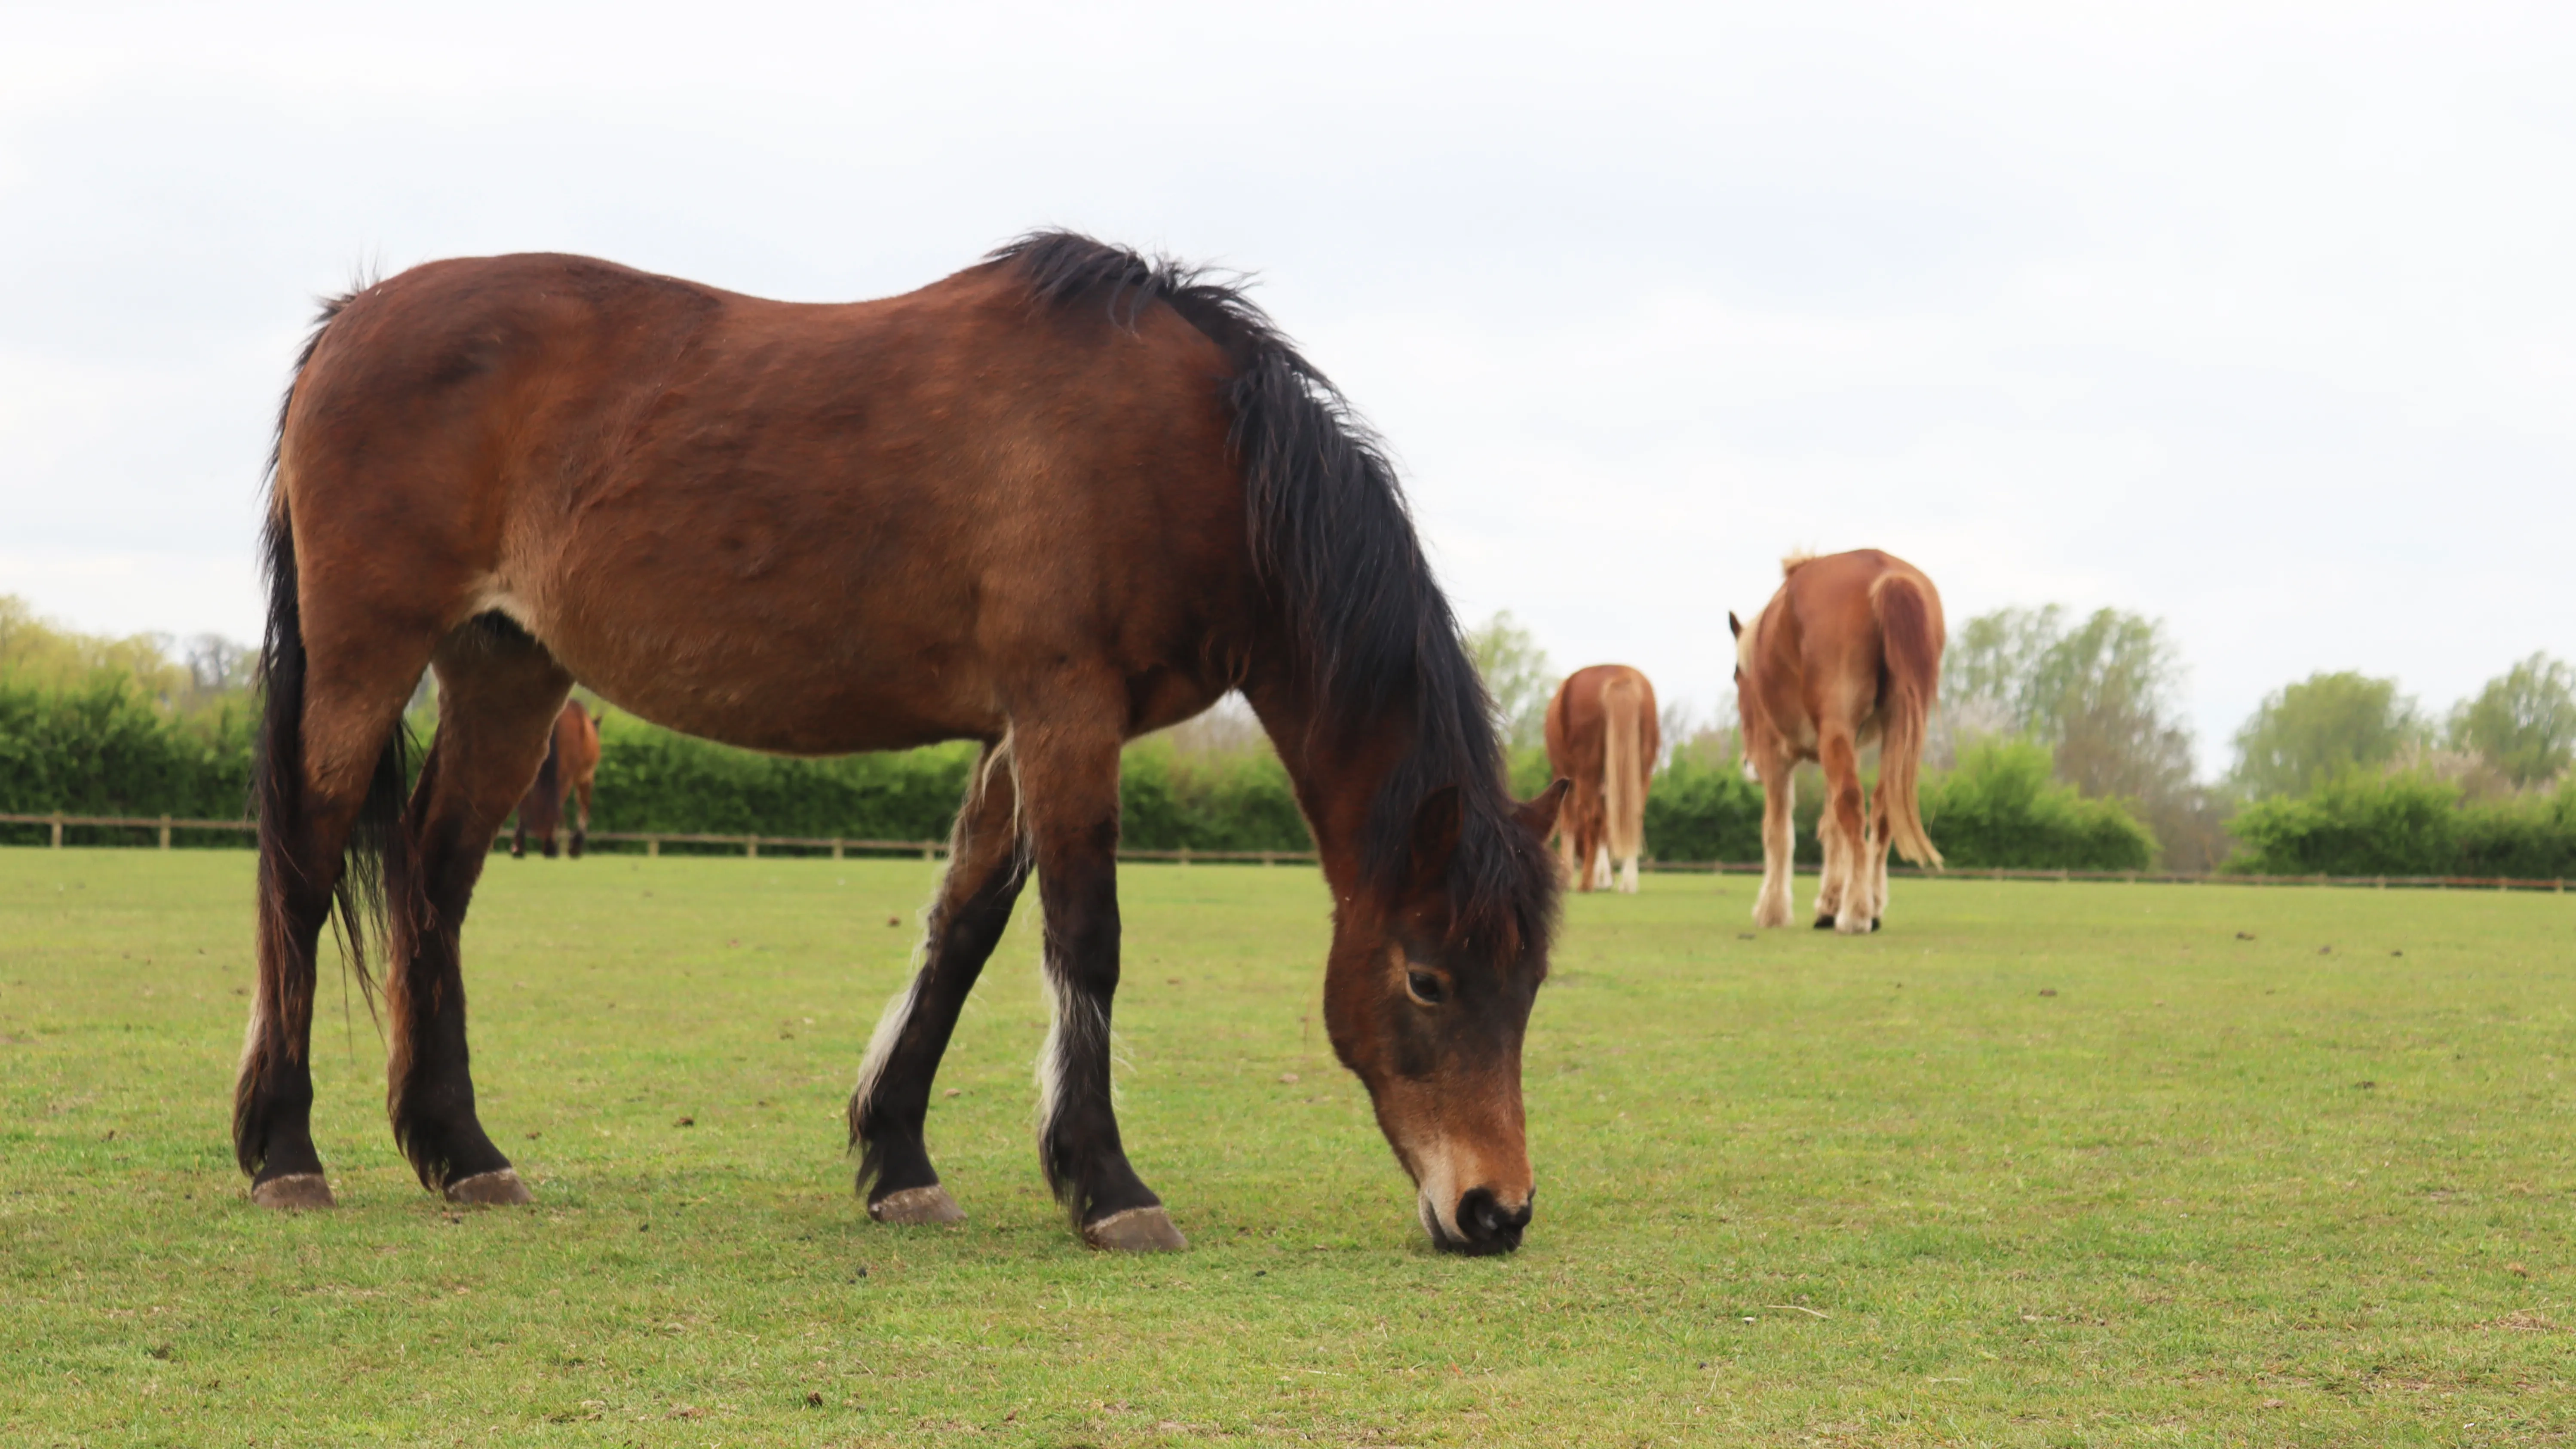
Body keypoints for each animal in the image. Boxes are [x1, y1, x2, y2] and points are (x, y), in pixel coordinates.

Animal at [508, 699, 599, 859]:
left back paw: (519, 847)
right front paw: (576, 846)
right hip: (565, 776)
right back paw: (550, 846)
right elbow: (584, 805)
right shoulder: (586, 778)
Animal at [1542, 666, 1659, 893]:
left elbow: (1570, 821)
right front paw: (1604, 878)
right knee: (1634, 816)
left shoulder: (1565, 774)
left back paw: (1586, 883)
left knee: (1593, 817)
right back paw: (1628, 883)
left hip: (1589, 770)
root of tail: (1619, 675)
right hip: (1642, 771)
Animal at [1729, 550, 1944, 934]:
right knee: (1881, 807)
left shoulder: (1776, 754)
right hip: (1894, 729)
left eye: (1737, 676)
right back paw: (1870, 905)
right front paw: (1828, 903)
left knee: (1852, 805)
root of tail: (1884, 572)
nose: (1748, 765)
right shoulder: (1843, 743)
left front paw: (1772, 910)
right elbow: (1831, 828)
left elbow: (1778, 830)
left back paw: (1856, 912)